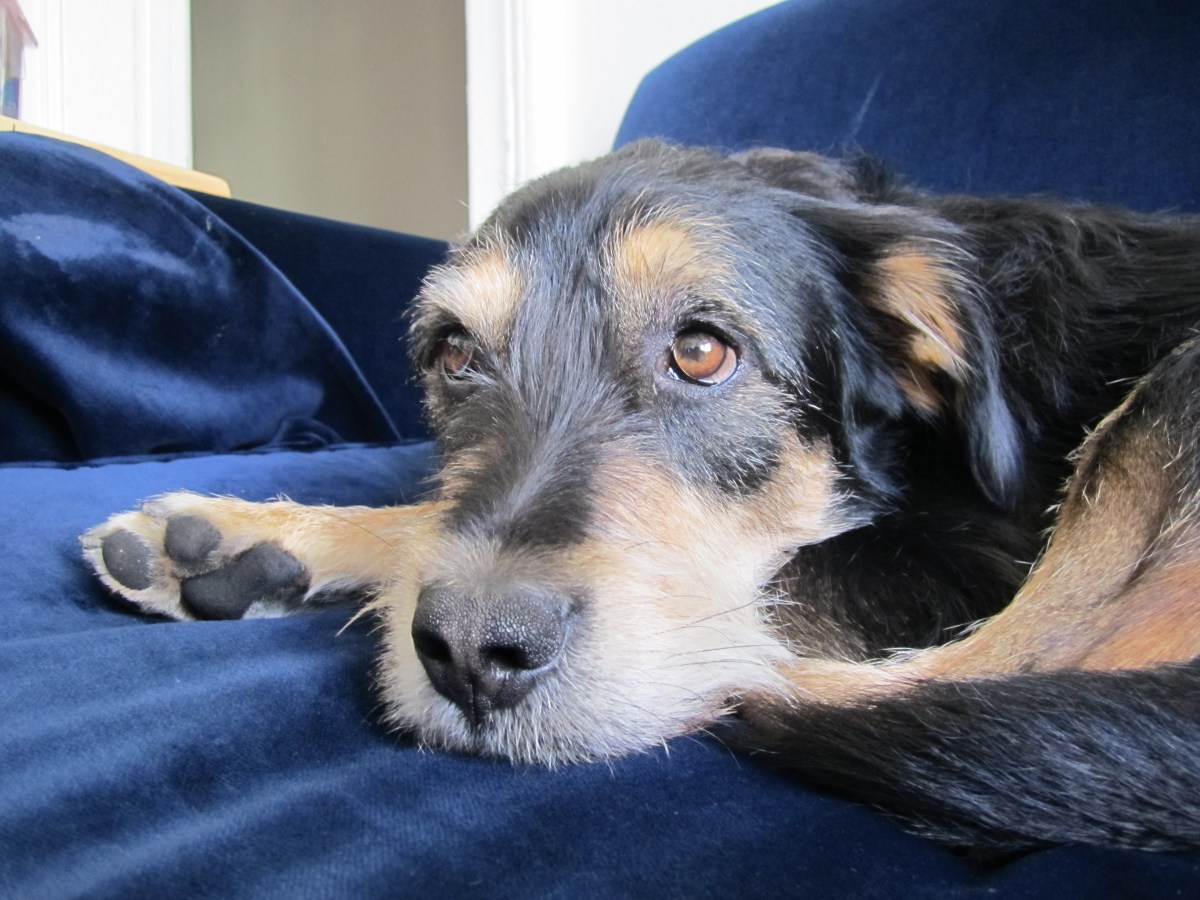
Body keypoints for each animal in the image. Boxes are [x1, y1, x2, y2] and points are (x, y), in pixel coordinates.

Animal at [84, 139, 1200, 852]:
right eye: (455, 354)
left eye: (703, 352)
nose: (471, 653)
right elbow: (426, 521)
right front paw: (243, 539)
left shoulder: (969, 558)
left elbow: (787, 585)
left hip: (1162, 405)